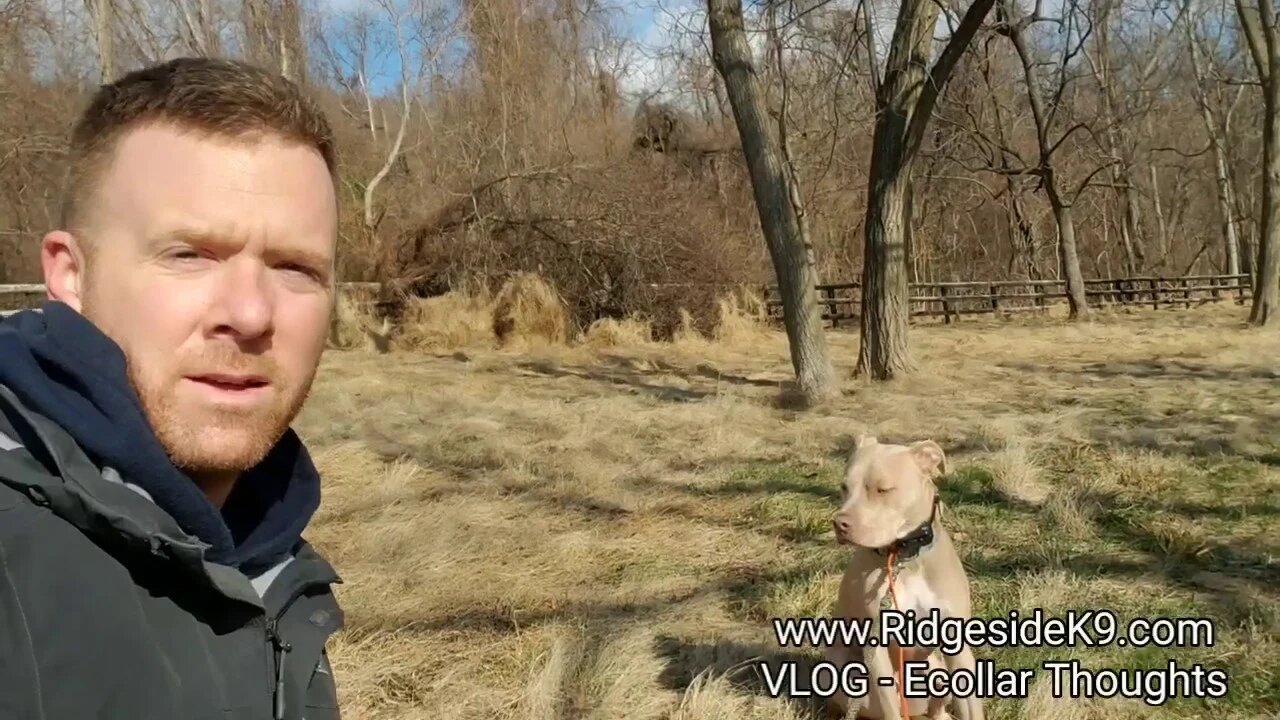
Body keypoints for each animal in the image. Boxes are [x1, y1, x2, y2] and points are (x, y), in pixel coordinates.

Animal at [819, 435, 977, 717]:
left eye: (883, 489)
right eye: (844, 487)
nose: (840, 523)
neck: (905, 555)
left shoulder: (957, 646)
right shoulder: (876, 646)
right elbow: (890, 709)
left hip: (936, 670)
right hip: (839, 671)